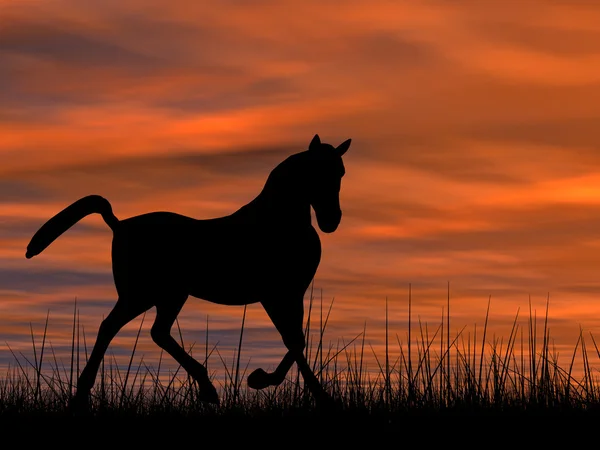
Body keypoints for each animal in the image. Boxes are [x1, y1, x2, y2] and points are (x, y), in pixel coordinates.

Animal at [25, 133, 350, 408]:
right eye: (315, 171)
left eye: (341, 173)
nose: (331, 220)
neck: (278, 222)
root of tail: (118, 224)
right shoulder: (275, 295)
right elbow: (293, 340)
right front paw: (266, 381)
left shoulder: (292, 294)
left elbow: (297, 340)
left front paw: (302, 391)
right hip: (144, 295)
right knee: (115, 328)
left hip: (166, 296)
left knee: (154, 332)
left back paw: (204, 389)